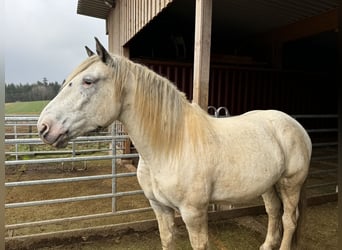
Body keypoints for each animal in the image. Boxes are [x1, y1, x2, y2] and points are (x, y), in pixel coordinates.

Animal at [38, 37, 312, 250]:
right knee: (274, 211)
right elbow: (167, 240)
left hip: (290, 184)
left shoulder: (194, 214)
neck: (171, 146)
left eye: (88, 81)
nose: (44, 127)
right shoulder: (160, 208)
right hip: (269, 185)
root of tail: (296, 126)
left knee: (289, 219)